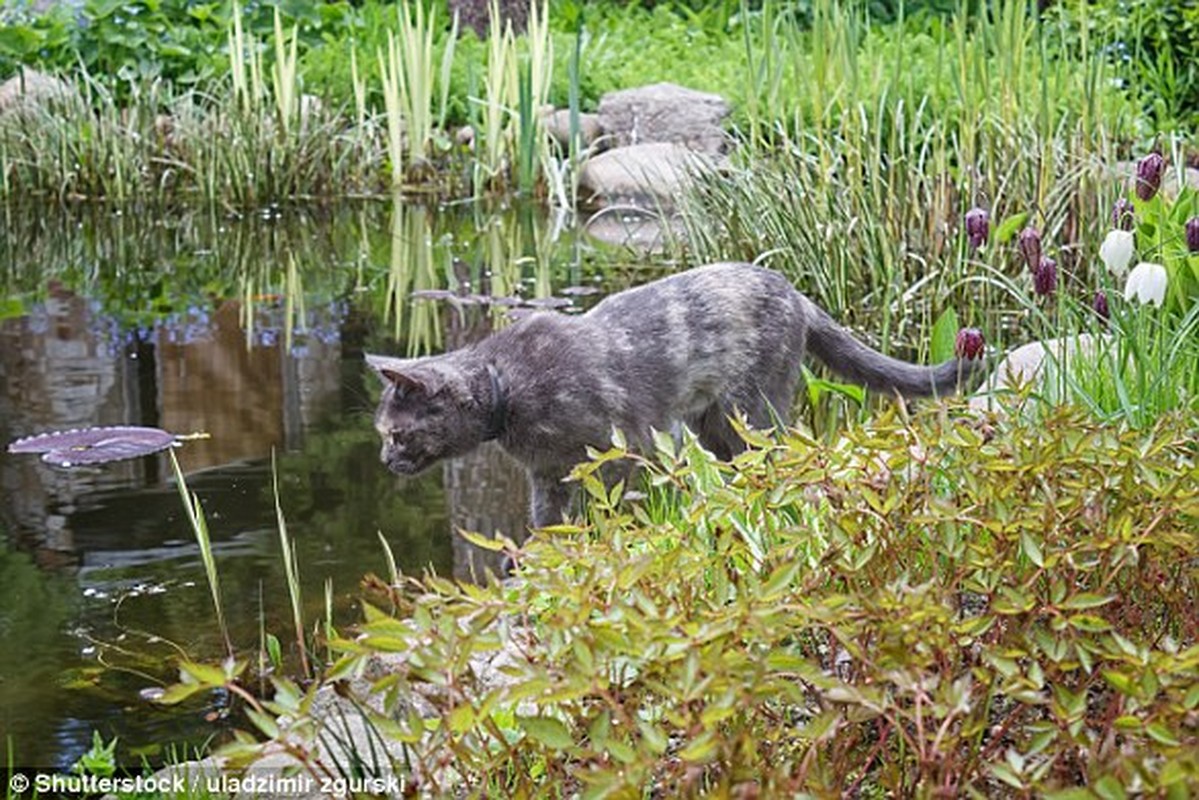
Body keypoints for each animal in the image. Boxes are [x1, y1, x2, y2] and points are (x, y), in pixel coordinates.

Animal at [371, 260, 983, 527]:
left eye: (397, 434)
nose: (383, 460)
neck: (507, 388)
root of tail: (796, 293)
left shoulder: (628, 446)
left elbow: (619, 504)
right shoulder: (548, 476)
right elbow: (546, 525)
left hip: (750, 409)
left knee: (780, 455)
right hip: (714, 426)